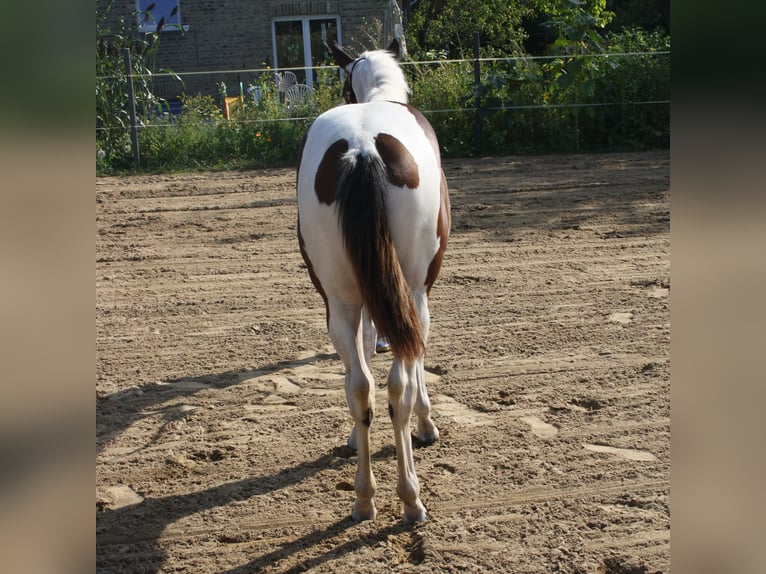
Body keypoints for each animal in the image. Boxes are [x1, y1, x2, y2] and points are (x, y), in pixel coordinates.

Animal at [296, 42, 450, 524]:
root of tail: (363, 150)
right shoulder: (418, 297)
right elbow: (415, 366)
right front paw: (427, 423)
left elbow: (364, 351)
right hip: (411, 292)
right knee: (397, 387)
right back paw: (410, 497)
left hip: (340, 300)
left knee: (359, 387)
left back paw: (364, 498)